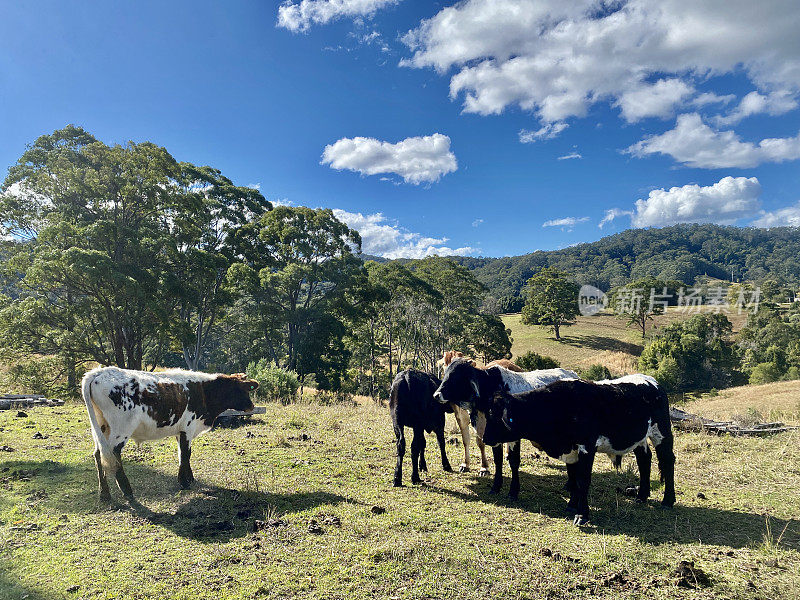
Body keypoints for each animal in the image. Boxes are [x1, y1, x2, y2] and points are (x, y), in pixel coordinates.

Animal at [81, 366, 258, 502]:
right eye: (238, 389)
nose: (251, 406)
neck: (203, 391)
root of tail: (98, 372)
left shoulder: (181, 431)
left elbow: (183, 454)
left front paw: (188, 478)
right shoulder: (188, 427)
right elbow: (185, 454)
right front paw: (185, 483)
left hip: (101, 427)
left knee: (98, 454)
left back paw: (105, 494)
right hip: (120, 429)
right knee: (112, 453)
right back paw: (127, 491)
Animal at [434, 356, 580, 492]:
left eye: (457, 375)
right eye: (446, 372)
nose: (436, 395)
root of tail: (574, 375)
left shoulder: (513, 437)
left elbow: (514, 461)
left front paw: (513, 491)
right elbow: (497, 460)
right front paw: (495, 487)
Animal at [482, 380, 676, 524]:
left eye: (495, 416)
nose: (485, 438)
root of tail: (653, 382)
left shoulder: (586, 447)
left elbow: (582, 480)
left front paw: (582, 514)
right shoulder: (571, 450)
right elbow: (574, 479)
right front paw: (572, 505)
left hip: (662, 432)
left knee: (667, 461)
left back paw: (668, 500)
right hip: (640, 438)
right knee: (644, 460)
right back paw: (642, 496)